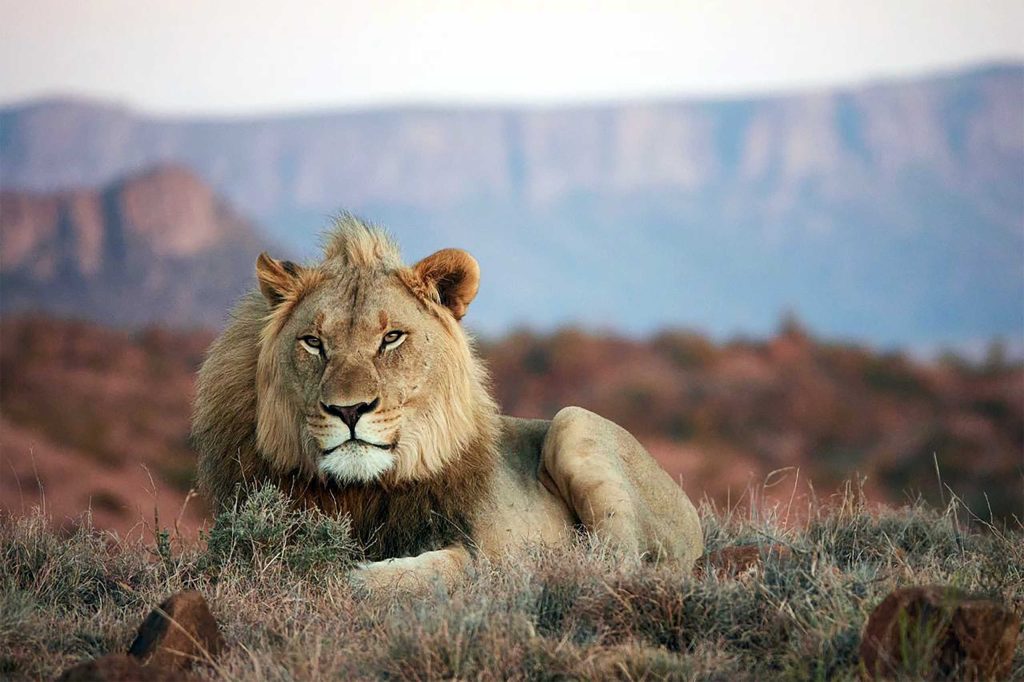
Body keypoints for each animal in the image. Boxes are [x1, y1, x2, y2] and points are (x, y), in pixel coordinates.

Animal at [192, 215, 704, 585]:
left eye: (391, 338)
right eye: (314, 343)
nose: (349, 410)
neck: (361, 491)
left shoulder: (466, 543)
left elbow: (440, 567)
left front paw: (358, 574)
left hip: (573, 424)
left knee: (617, 563)